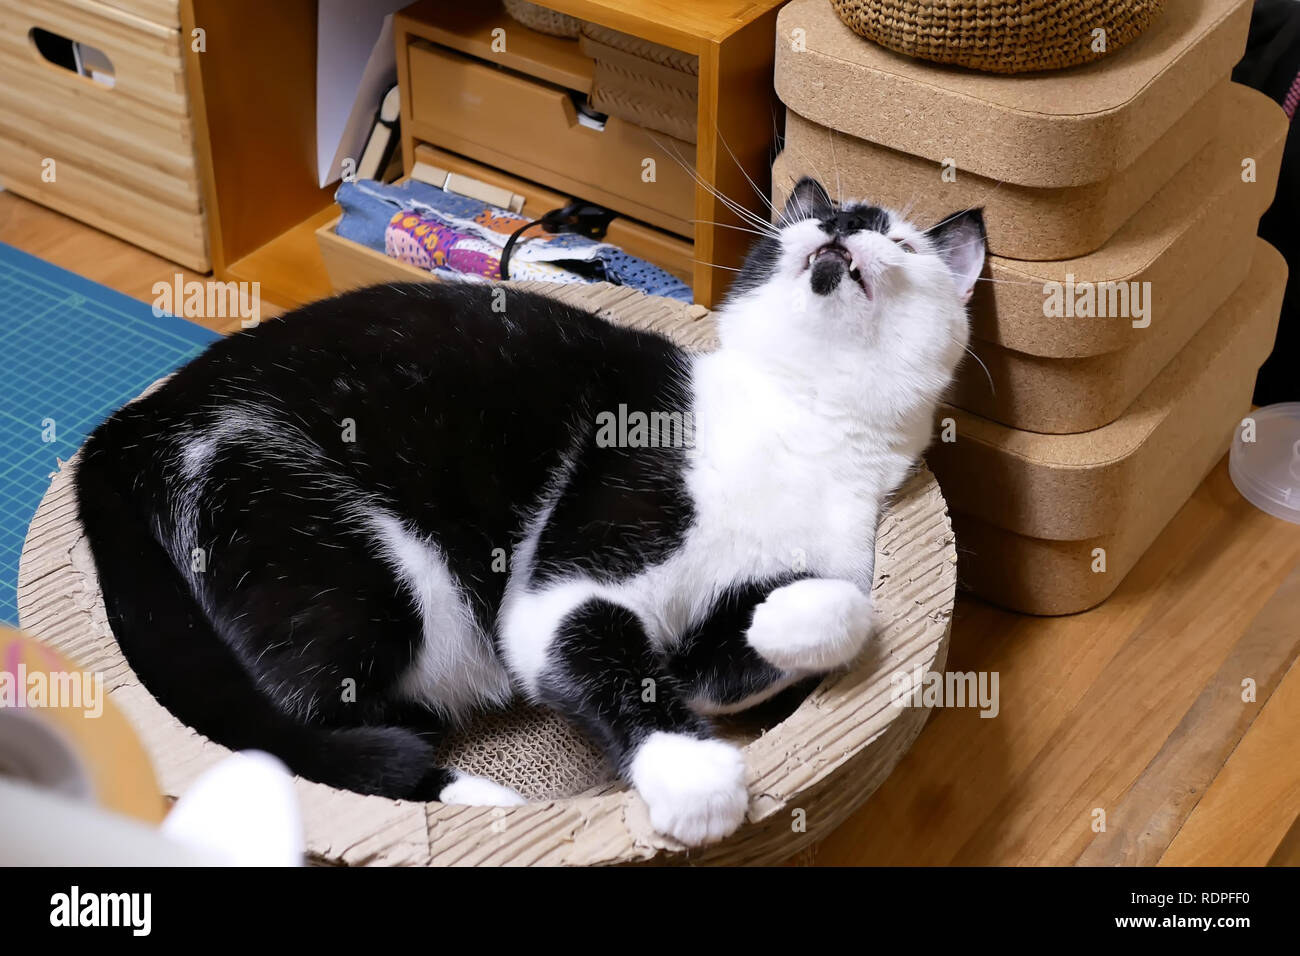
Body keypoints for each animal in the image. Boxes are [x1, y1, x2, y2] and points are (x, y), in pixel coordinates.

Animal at [76, 179, 977, 842]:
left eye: (900, 240)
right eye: (815, 221)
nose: (847, 220)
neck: (802, 424)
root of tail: (130, 427)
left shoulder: (805, 573)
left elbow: (820, 618)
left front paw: (783, 623)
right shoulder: (573, 572)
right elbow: (600, 651)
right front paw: (690, 776)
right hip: (343, 569)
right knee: (293, 736)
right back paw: (472, 794)